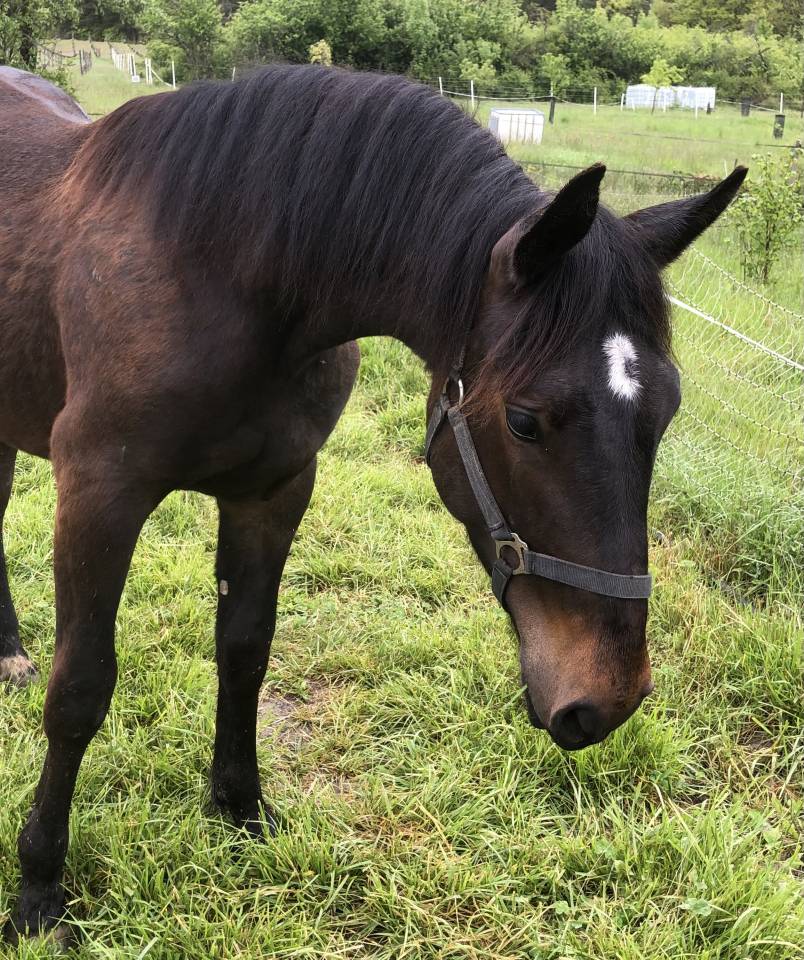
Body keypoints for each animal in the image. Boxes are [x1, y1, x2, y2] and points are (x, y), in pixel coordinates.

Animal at [0, 63, 745, 940]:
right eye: (525, 421)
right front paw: (39, 886)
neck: (223, 273)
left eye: (666, 411)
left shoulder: (274, 491)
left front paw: (241, 806)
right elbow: (79, 690)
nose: (607, 700)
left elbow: (245, 651)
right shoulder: (98, 495)